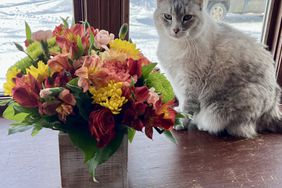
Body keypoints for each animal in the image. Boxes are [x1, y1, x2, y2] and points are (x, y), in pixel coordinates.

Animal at [154, 0, 282, 138]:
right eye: (168, 17)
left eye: (187, 17)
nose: (176, 30)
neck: (174, 46)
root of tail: (273, 108)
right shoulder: (177, 82)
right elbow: (182, 103)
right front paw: (177, 112)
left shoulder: (190, 85)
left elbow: (187, 110)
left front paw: (180, 123)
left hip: (219, 110)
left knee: (231, 128)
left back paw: (202, 125)